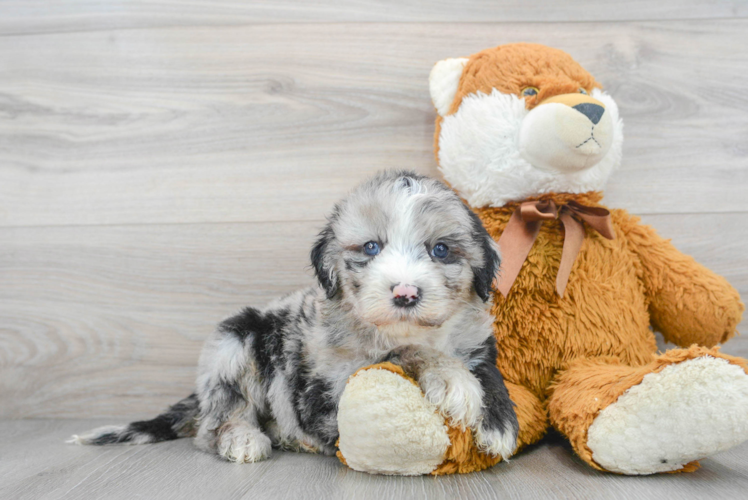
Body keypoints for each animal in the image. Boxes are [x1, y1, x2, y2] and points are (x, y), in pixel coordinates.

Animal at [70, 170, 516, 462]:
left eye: (440, 249)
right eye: (371, 247)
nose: (405, 293)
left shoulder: (477, 342)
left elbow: (489, 373)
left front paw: (498, 424)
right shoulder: (325, 392)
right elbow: (402, 353)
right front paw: (452, 380)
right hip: (235, 340)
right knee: (215, 423)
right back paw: (243, 439)